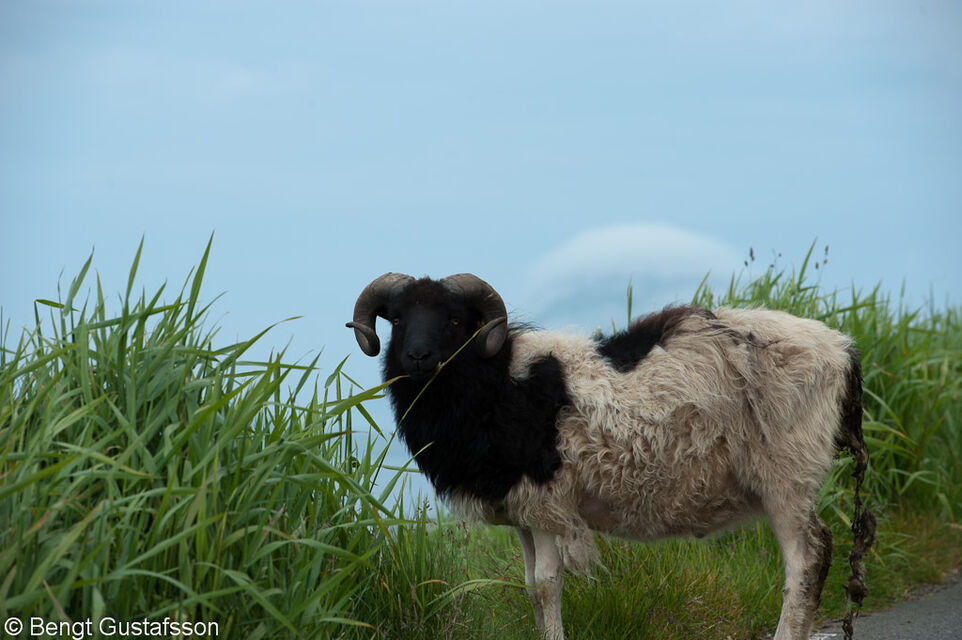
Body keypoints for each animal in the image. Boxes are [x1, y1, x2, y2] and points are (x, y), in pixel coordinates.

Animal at [347, 272, 875, 640]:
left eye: (454, 320)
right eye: (397, 319)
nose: (417, 357)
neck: (493, 384)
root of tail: (843, 350)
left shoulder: (548, 501)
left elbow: (546, 584)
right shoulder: (521, 511)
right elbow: (529, 587)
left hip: (787, 472)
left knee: (808, 556)